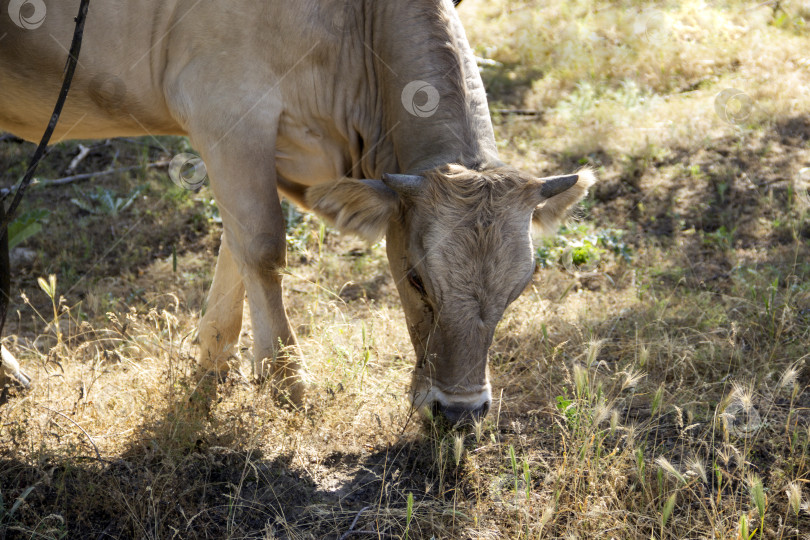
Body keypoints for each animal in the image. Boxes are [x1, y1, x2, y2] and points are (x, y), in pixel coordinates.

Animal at [1, 0, 592, 422]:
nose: (461, 413)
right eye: (416, 279)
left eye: (520, 288)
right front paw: (288, 381)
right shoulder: (227, 108)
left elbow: (235, 243)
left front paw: (215, 358)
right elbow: (263, 245)